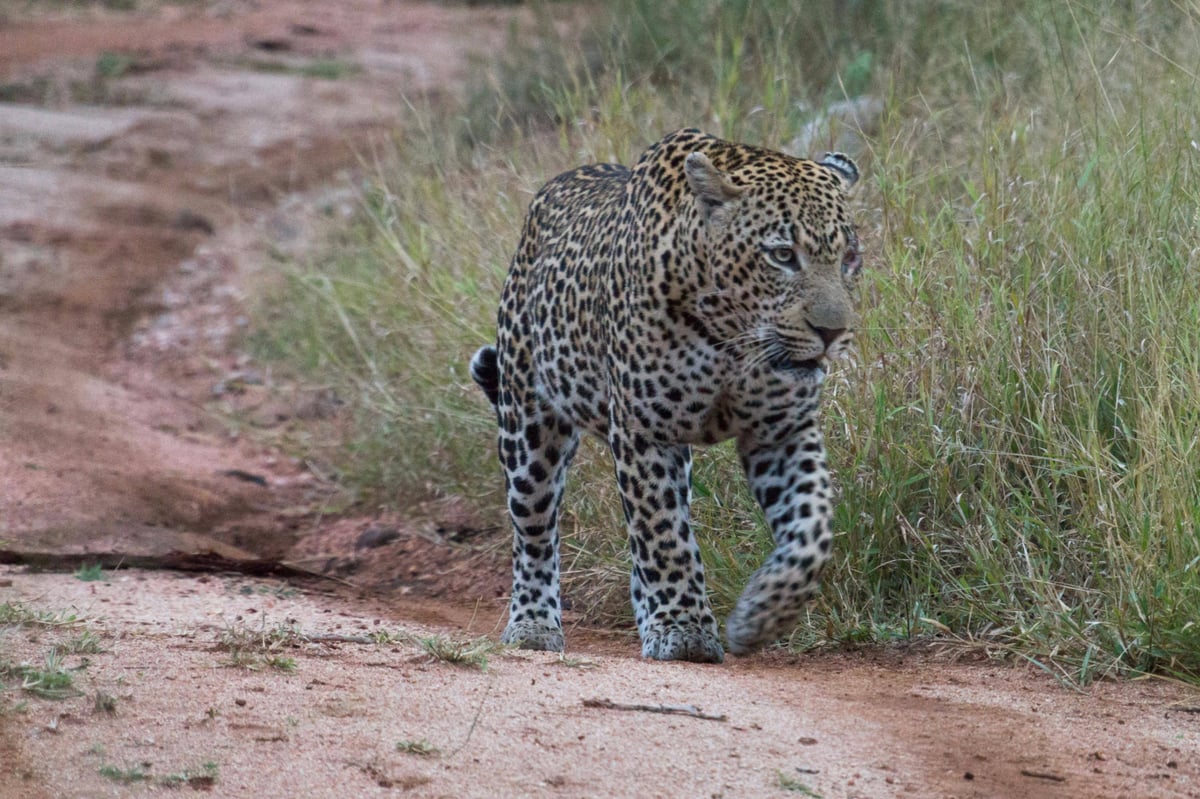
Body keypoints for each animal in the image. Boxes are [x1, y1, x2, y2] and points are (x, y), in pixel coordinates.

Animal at [470, 128, 864, 657]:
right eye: (782, 255)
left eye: (849, 259)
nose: (831, 332)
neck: (730, 338)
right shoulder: (643, 430)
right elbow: (662, 534)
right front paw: (685, 629)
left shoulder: (781, 431)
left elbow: (814, 525)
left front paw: (762, 615)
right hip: (529, 428)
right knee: (534, 530)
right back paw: (534, 624)